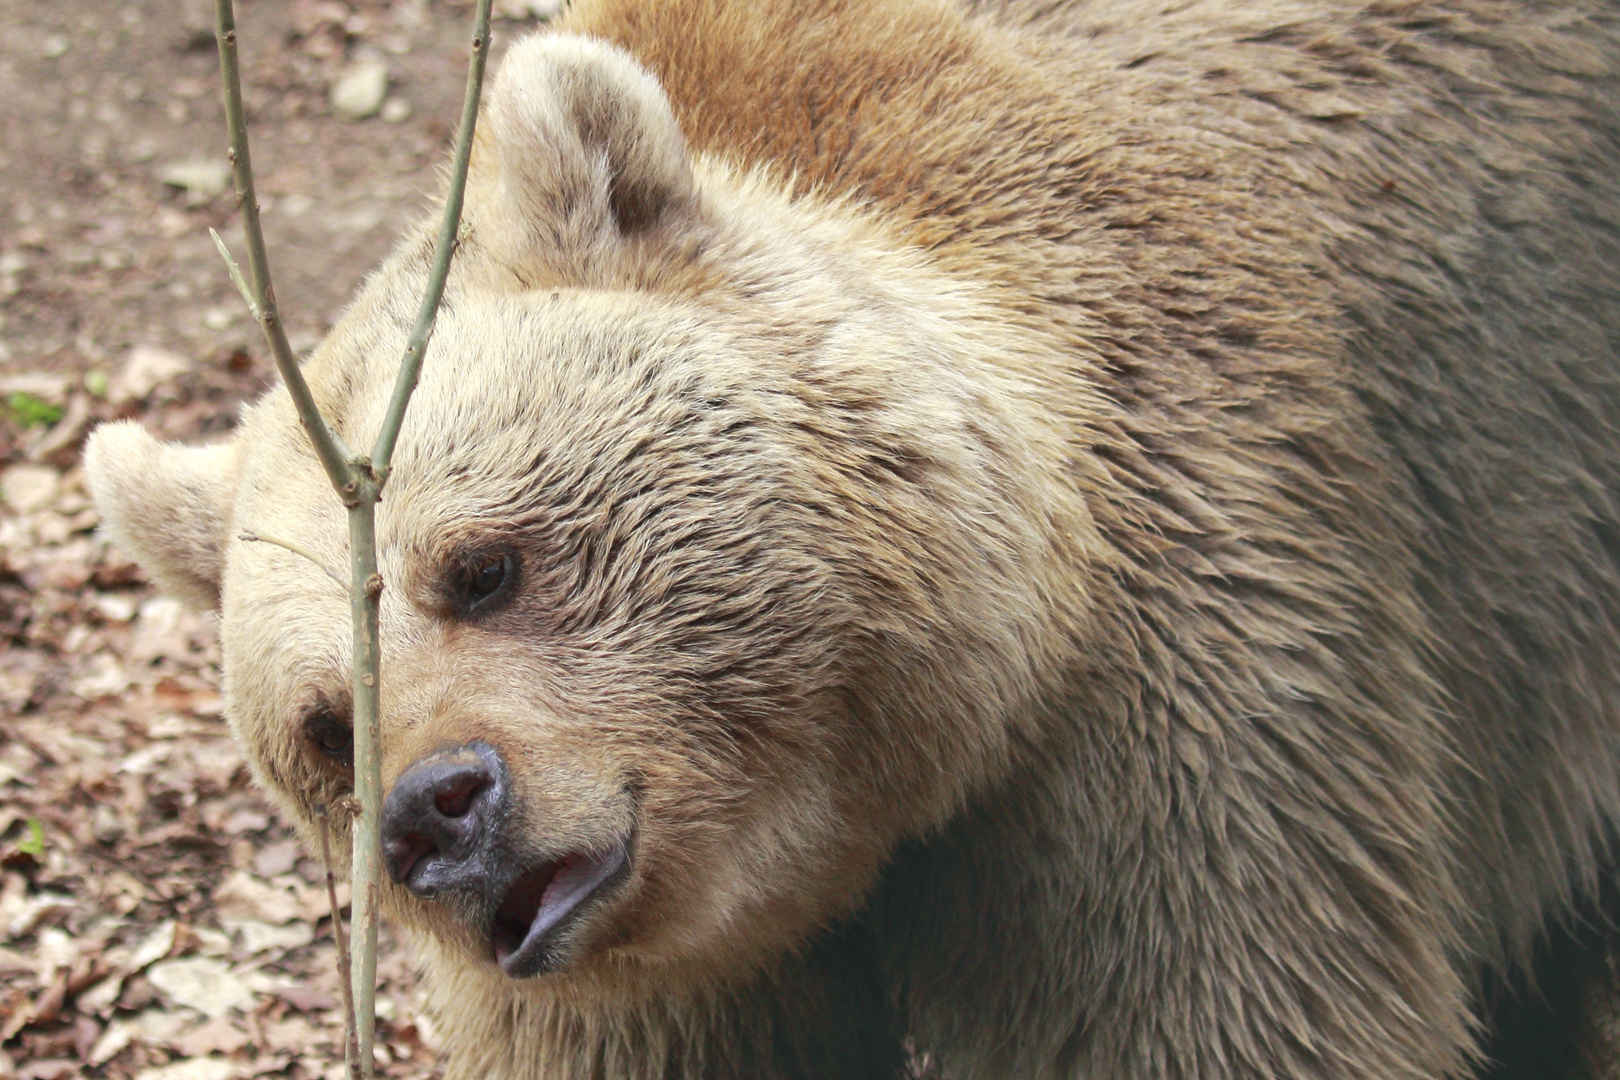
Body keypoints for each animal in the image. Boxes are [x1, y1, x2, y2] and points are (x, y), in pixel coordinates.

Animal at [82, 0, 1620, 1075]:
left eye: (483, 565)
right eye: (326, 726)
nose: (435, 814)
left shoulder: (1176, 698)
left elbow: (1222, 1011)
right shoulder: (651, 979)